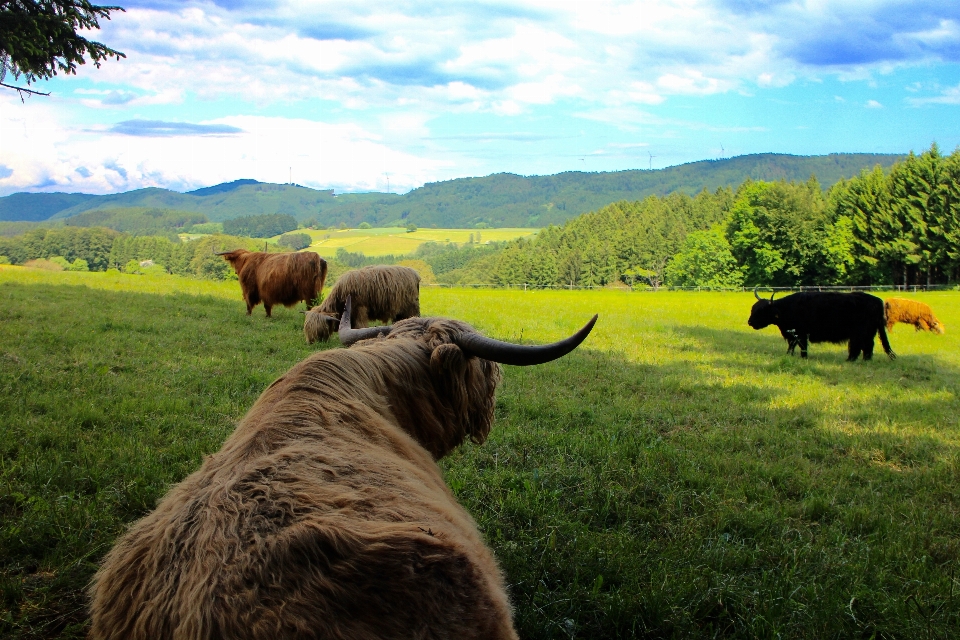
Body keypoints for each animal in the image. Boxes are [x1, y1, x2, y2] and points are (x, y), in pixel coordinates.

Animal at [752, 288, 892, 360]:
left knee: (859, 347)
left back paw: (850, 360)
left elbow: (802, 347)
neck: (786, 308)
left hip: (860, 333)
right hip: (867, 333)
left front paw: (804, 357)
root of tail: (878, 301)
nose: (750, 321)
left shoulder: (802, 334)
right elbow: (791, 346)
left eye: (761, 310)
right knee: (867, 346)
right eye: (753, 308)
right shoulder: (793, 334)